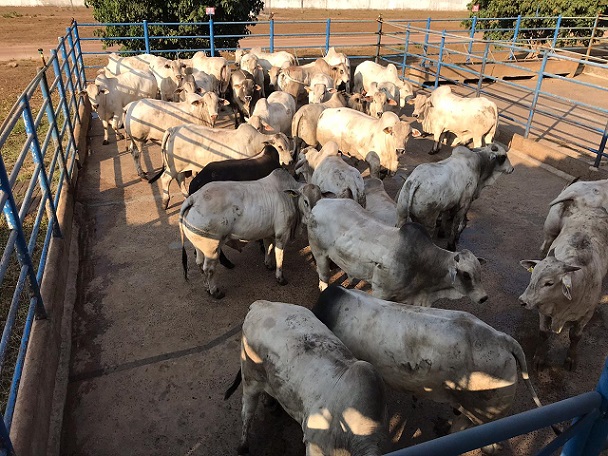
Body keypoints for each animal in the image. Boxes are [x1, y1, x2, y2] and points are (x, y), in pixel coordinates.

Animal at [147, 123, 290, 208]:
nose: (289, 162)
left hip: (180, 167)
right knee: (165, 179)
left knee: (180, 179)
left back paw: (186, 196)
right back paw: (165, 202)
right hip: (173, 167)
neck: (255, 143)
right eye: (280, 147)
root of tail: (174, 129)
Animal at [177, 170, 324, 300]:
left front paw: (268, 265)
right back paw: (216, 292)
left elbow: (268, 247)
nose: (314, 219)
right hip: (211, 248)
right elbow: (279, 256)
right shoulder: (282, 234)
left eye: (320, 200)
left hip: (199, 246)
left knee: (199, 264)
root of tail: (194, 198)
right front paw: (280, 278)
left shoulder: (268, 233)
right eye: (305, 201)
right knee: (208, 269)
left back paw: (207, 287)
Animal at [304, 197, 490, 306]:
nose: (483, 298)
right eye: (466, 274)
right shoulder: (381, 292)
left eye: (480, 273)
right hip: (318, 252)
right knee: (323, 273)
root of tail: (320, 203)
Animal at [520, 205, 608, 372]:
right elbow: (543, 333)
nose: (523, 301)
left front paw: (570, 358)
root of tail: (598, 208)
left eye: (549, 283)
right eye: (532, 275)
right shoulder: (544, 310)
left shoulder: (586, 315)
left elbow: (575, 337)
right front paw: (539, 358)